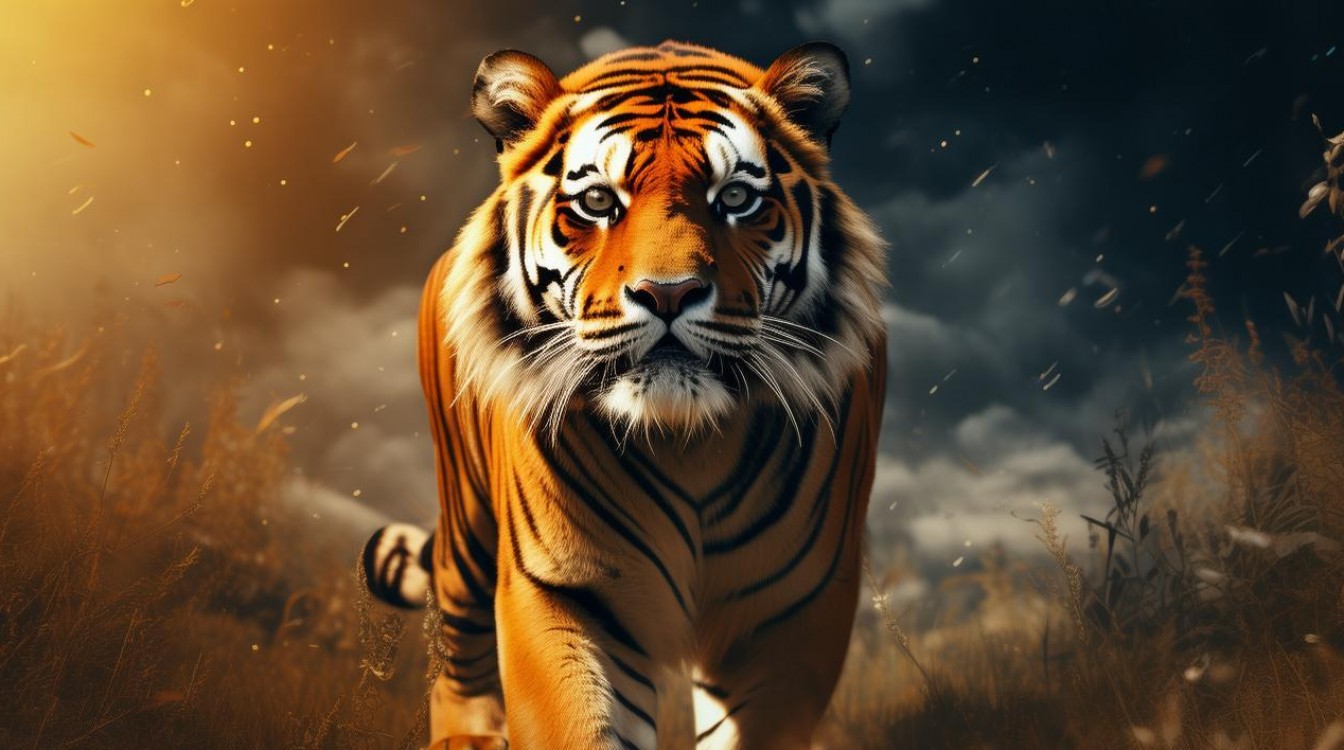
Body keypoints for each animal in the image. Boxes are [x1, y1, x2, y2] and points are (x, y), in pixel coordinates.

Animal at [361, 40, 887, 750]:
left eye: (737, 197)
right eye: (597, 201)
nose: (668, 292)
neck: (689, 442)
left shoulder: (794, 610)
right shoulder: (564, 590)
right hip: (466, 518)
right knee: (457, 656)